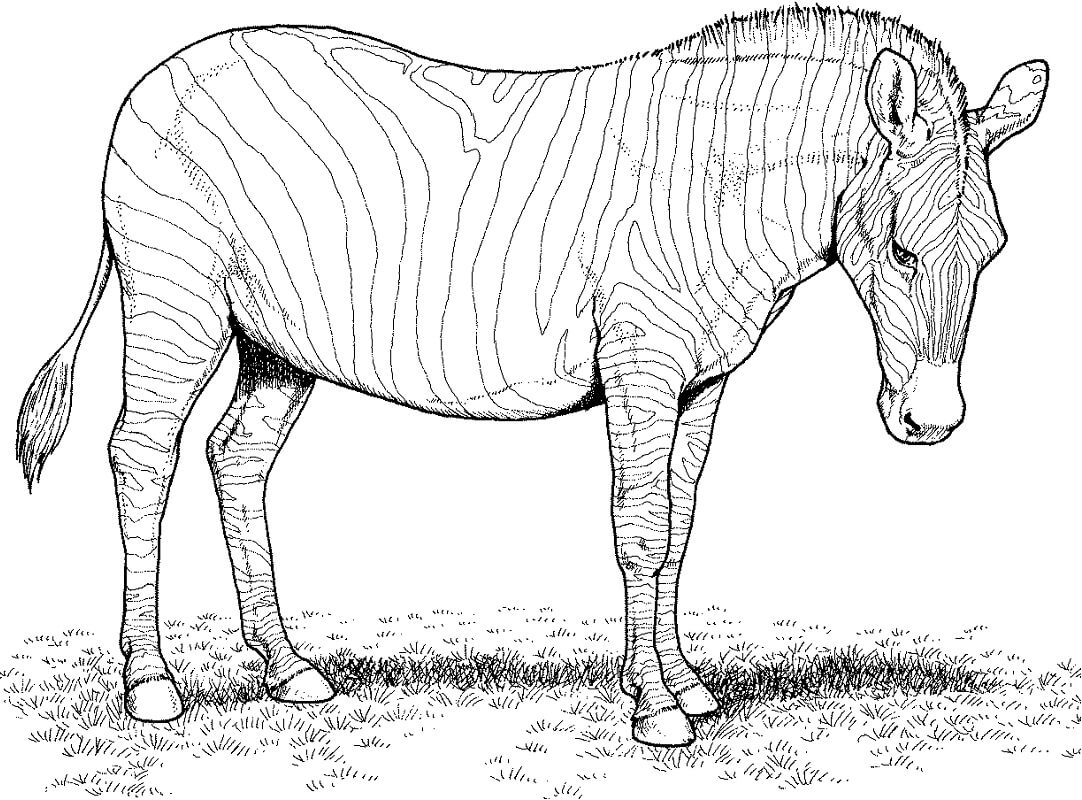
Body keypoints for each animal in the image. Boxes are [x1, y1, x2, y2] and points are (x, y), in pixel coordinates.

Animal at [15, 7, 1046, 746]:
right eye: (902, 250)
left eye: (993, 252)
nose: (933, 420)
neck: (713, 185)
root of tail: (158, 75)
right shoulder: (641, 364)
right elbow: (640, 530)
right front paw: (654, 710)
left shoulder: (701, 382)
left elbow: (679, 525)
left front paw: (682, 683)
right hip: (175, 302)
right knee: (141, 454)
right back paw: (151, 685)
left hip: (276, 342)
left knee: (235, 457)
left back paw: (290, 669)